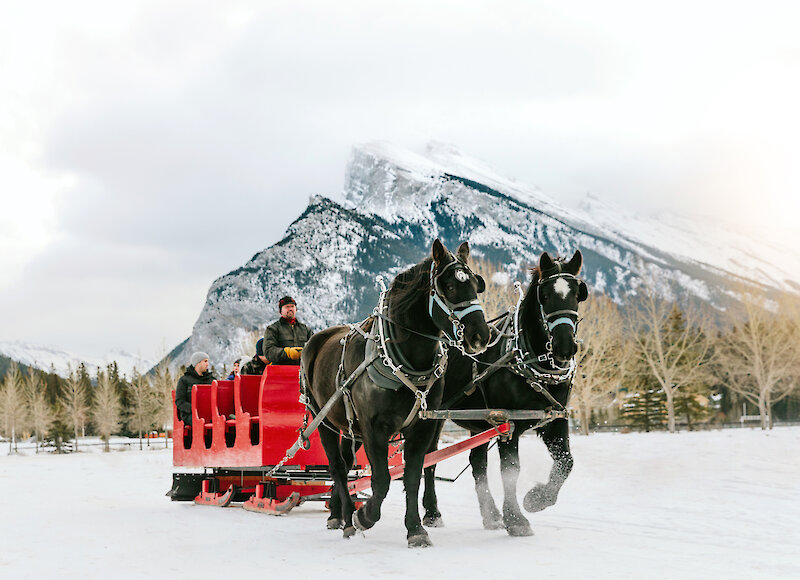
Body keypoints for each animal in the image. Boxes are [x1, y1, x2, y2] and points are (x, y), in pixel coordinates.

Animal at [298, 238, 488, 548]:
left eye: (475, 283)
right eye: (449, 286)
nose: (480, 336)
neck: (406, 360)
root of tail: (316, 339)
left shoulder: (422, 427)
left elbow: (411, 476)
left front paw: (416, 529)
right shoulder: (374, 428)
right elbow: (382, 480)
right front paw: (364, 516)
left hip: (350, 428)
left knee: (346, 464)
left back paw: (337, 513)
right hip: (322, 419)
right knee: (337, 467)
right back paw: (347, 518)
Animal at [424, 248, 588, 536]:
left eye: (577, 294)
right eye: (545, 296)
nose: (565, 347)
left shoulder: (555, 419)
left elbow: (566, 461)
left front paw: (537, 499)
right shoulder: (507, 422)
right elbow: (511, 469)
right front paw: (516, 519)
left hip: (479, 423)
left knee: (477, 462)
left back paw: (491, 515)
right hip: (433, 418)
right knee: (429, 460)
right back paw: (433, 513)